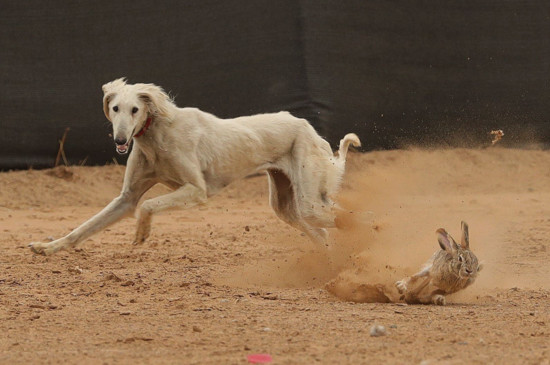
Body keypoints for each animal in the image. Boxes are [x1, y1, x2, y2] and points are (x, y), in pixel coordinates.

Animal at [29, 78, 362, 255]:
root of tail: (307, 125)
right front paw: (48, 247)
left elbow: (147, 206)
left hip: (309, 200)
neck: (158, 133)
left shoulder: (196, 190)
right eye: (115, 108)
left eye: (135, 109)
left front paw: (142, 233)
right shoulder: (126, 198)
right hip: (286, 204)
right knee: (322, 233)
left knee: (350, 218)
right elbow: (85, 228)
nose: (121, 140)